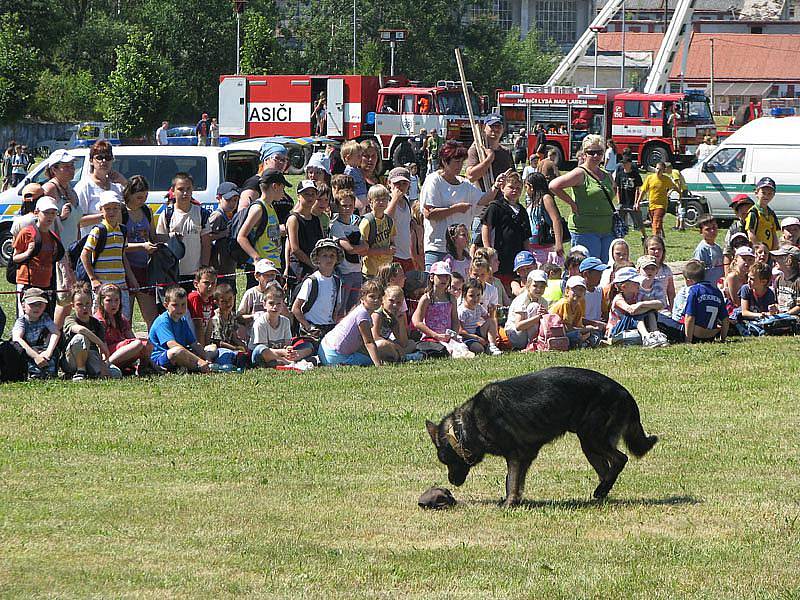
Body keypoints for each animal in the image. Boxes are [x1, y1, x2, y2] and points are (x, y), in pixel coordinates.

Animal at [424, 366, 656, 506]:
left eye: (445, 460)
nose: (452, 483)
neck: (464, 427)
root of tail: (626, 394)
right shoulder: (524, 457)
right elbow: (514, 482)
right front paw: (514, 501)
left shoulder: (515, 456)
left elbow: (511, 481)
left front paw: (508, 504)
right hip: (588, 444)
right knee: (606, 470)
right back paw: (601, 493)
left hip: (593, 439)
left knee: (620, 459)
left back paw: (602, 490)